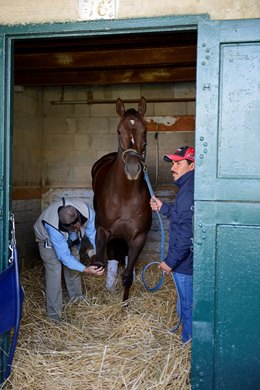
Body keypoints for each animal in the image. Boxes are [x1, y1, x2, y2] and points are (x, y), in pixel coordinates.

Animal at [91, 97, 152, 302]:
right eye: (119, 131)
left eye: (145, 131)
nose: (133, 169)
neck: (125, 197)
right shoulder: (102, 231)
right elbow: (100, 263)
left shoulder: (138, 237)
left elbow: (127, 276)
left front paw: (124, 304)